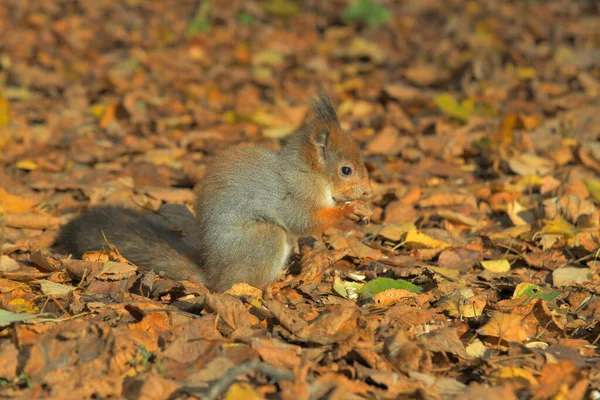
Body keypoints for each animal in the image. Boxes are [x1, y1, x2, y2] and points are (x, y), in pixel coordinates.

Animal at [52, 91, 370, 290]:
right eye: (346, 169)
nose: (368, 191)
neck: (311, 173)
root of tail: (213, 275)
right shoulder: (295, 194)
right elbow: (304, 221)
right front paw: (350, 210)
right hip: (263, 240)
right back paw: (273, 286)